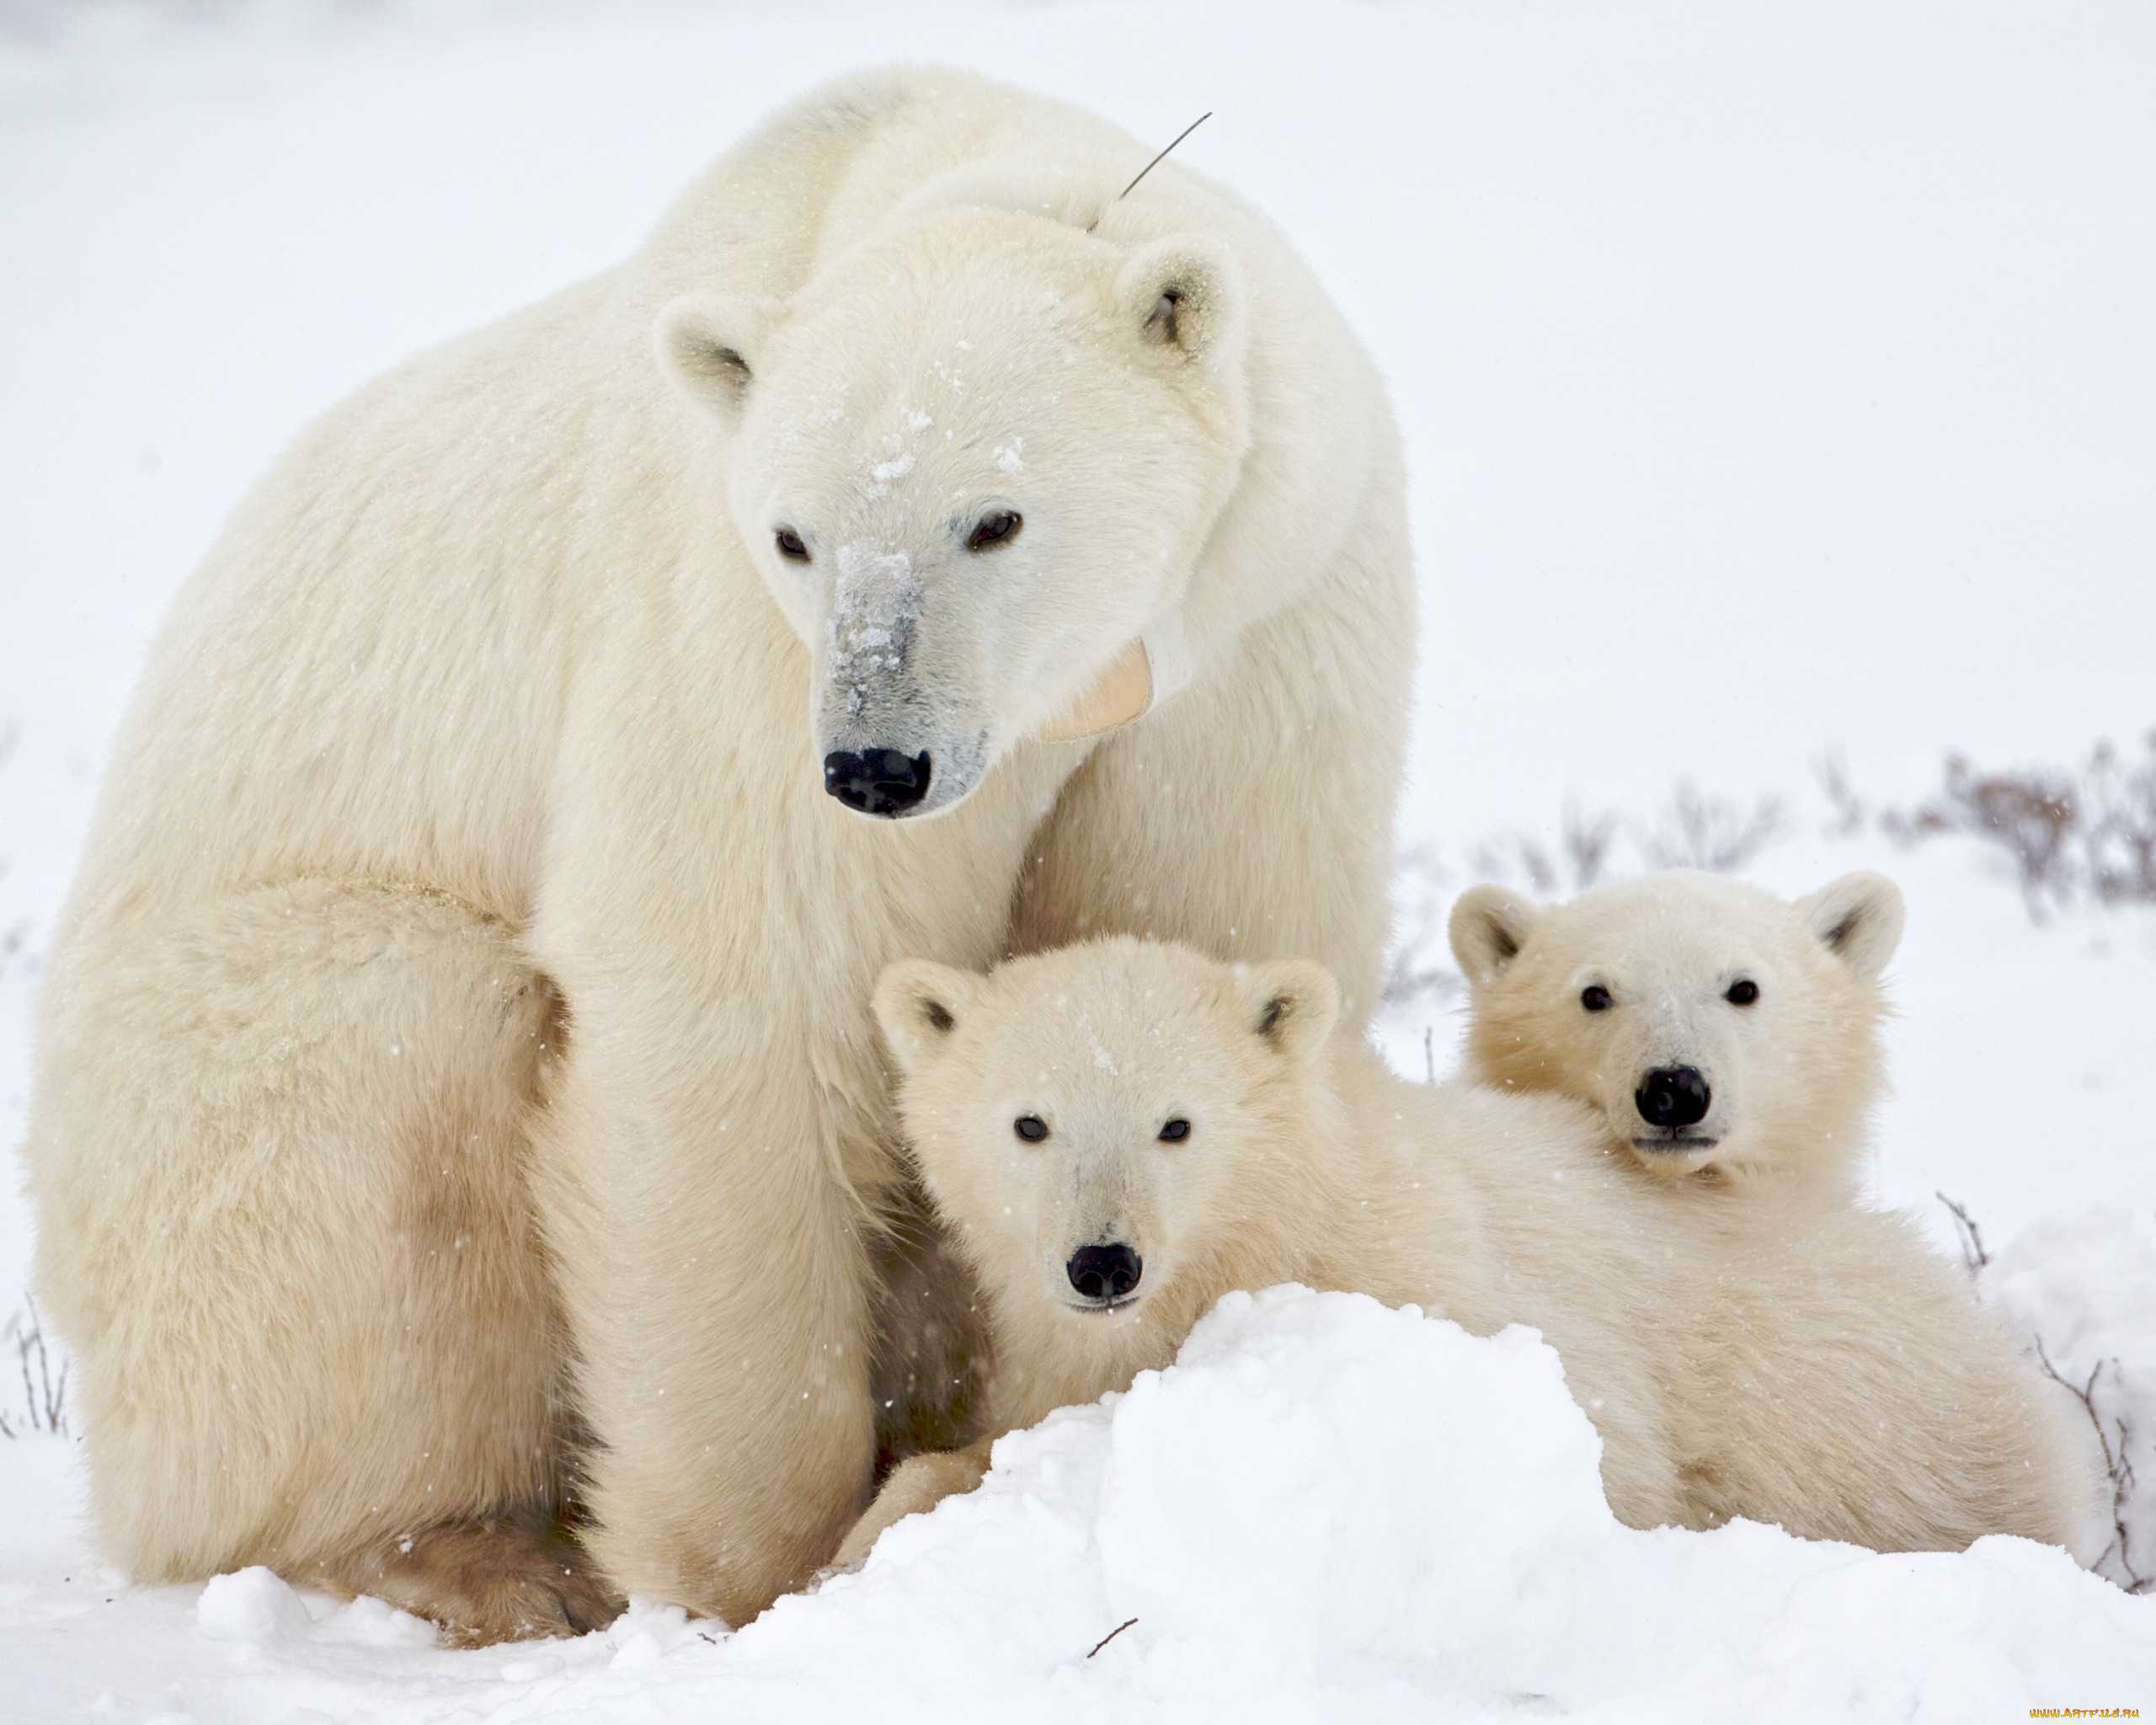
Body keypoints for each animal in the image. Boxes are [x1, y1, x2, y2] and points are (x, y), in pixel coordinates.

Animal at [20, 70, 1414, 1647]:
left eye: (995, 516)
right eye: (797, 535)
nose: (877, 765)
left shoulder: (1257, 634)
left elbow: (1196, 933)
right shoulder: (727, 636)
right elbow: (739, 1000)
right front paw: (760, 1569)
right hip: (199, 1104)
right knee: (391, 1080)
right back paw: (481, 1556)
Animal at [836, 936, 2087, 1569]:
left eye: (1176, 1124)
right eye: (1028, 1122)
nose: (1103, 1263)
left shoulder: (1438, 1294)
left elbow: (1599, 1463)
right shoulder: (1056, 1347)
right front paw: (872, 1531)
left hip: (1876, 1426)